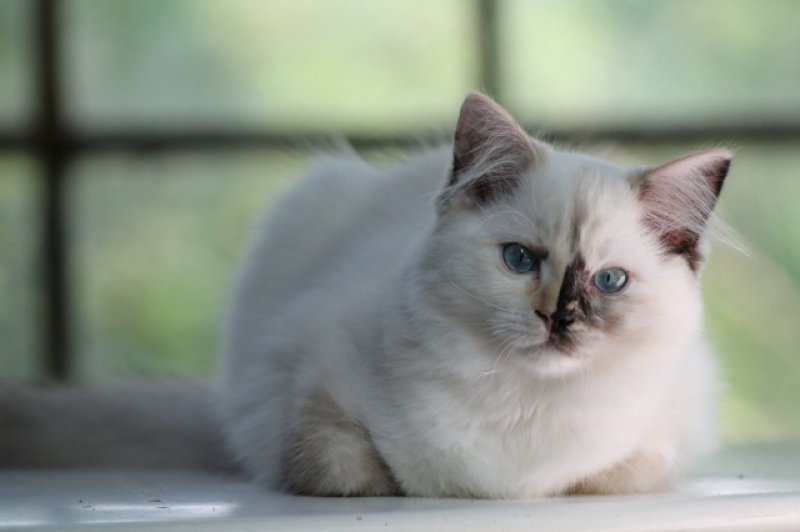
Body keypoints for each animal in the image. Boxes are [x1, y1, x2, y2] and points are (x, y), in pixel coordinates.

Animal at [222, 93, 728, 496]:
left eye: (609, 281)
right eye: (519, 259)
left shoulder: (669, 432)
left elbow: (609, 474)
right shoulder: (297, 384)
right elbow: (348, 469)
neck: (527, 401)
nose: (557, 318)